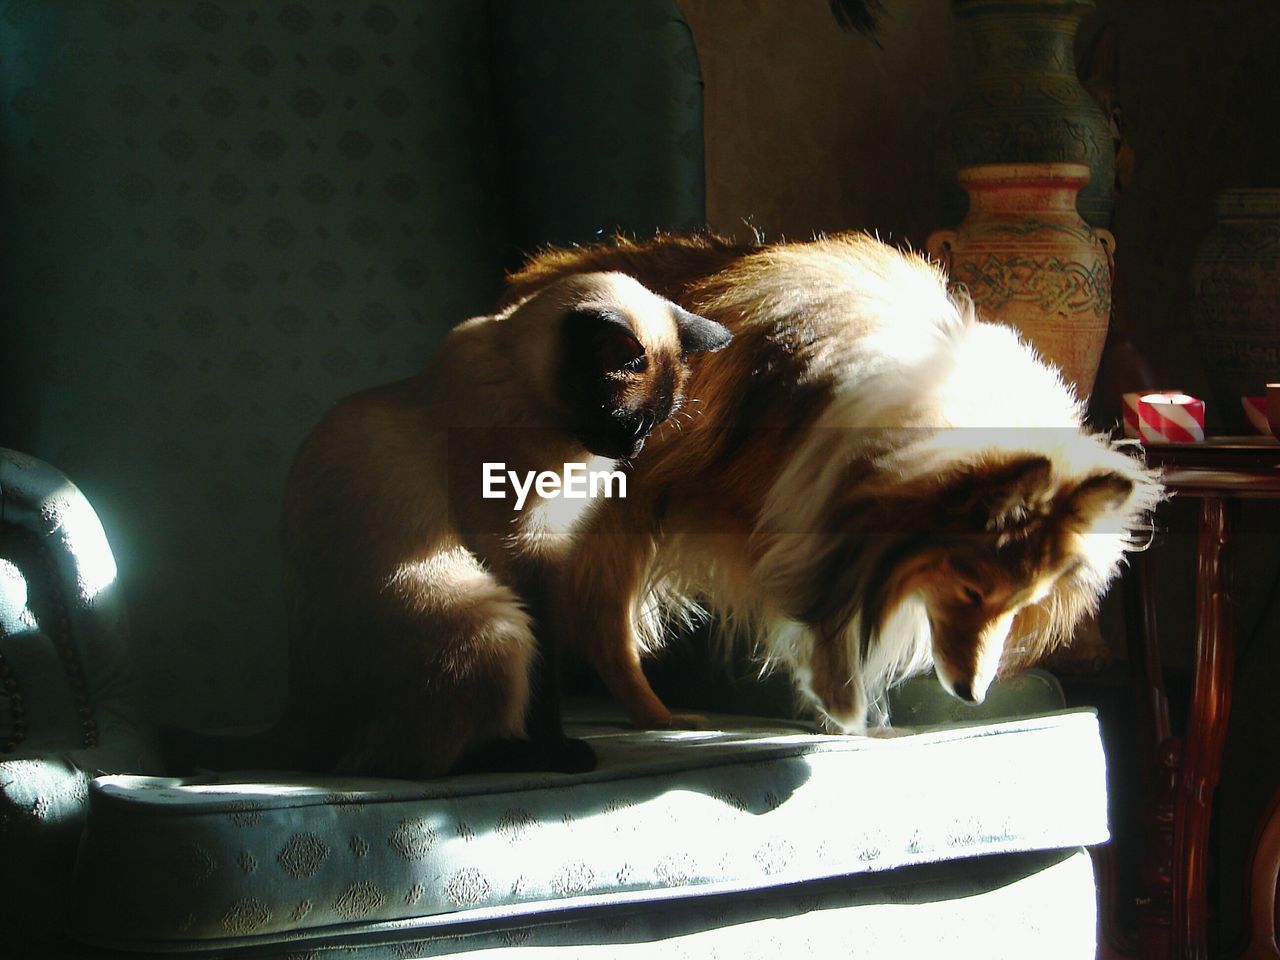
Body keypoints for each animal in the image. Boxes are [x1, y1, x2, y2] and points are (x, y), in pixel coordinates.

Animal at [276, 272, 732, 783]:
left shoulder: (551, 553)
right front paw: (558, 747)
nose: (631, 450)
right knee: (409, 765)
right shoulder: (525, 556)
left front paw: (663, 720)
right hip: (496, 621)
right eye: (629, 423)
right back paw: (532, 755)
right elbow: (546, 679)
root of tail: (290, 734)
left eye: (653, 425)